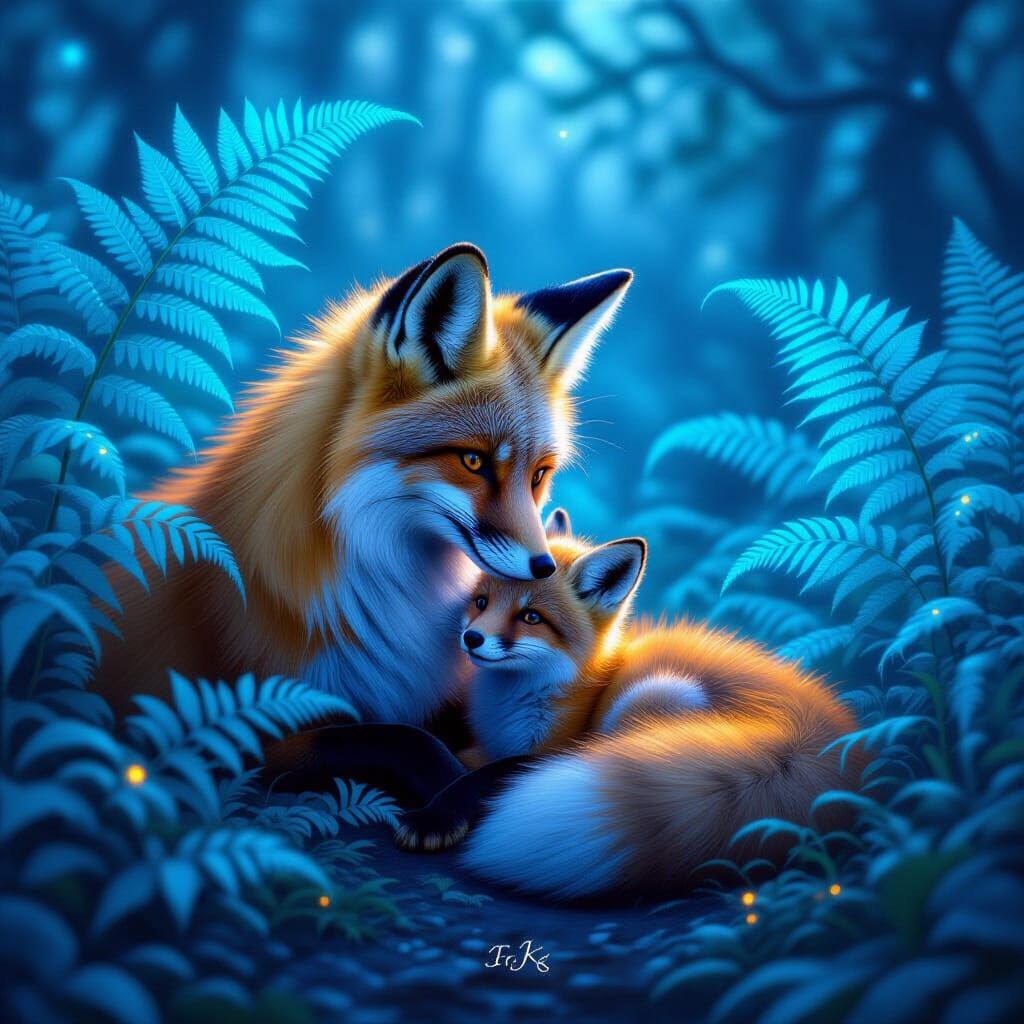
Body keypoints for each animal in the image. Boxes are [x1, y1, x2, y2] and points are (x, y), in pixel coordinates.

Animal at [426, 508, 863, 899]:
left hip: (658, 694)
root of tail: (821, 735)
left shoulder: (548, 743)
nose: (472, 639)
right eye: (481, 602)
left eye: (531, 617)